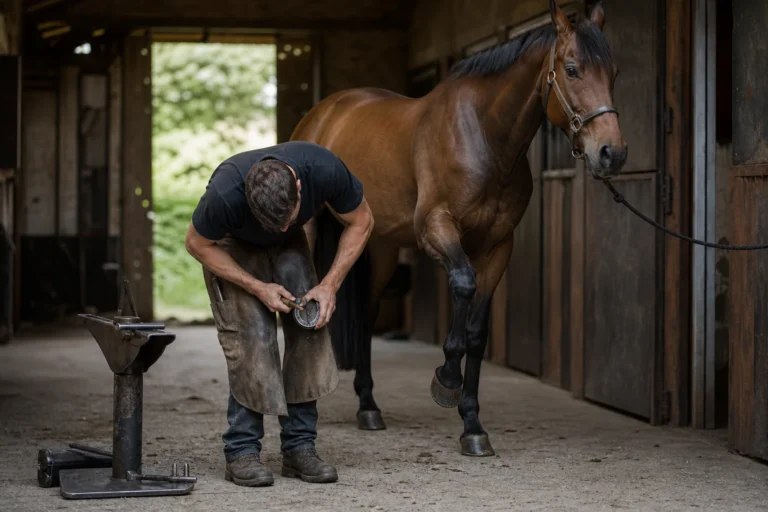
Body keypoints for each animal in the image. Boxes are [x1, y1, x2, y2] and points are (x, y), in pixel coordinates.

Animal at [291, 0, 627, 456]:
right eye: (572, 69)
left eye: (614, 72)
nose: (612, 153)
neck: (483, 136)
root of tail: (323, 113)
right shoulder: (437, 229)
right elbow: (463, 287)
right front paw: (446, 379)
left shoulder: (498, 245)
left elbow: (477, 332)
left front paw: (472, 425)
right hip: (311, 231)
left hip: (378, 245)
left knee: (368, 312)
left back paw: (368, 407)